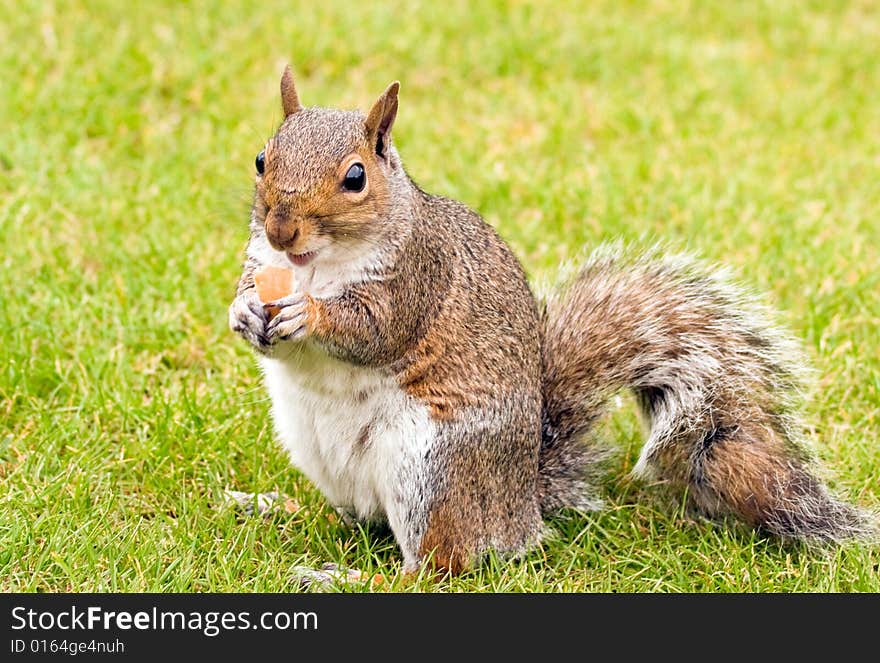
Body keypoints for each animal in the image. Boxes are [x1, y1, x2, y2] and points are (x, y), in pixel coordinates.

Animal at [230, 66, 876, 576]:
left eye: (356, 177)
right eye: (261, 159)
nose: (282, 228)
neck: (313, 266)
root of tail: (521, 512)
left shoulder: (418, 278)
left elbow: (373, 330)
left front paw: (310, 314)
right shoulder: (261, 261)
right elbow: (251, 301)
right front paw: (243, 312)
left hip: (430, 470)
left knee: (439, 564)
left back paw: (347, 576)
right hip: (323, 454)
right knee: (356, 518)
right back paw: (275, 506)